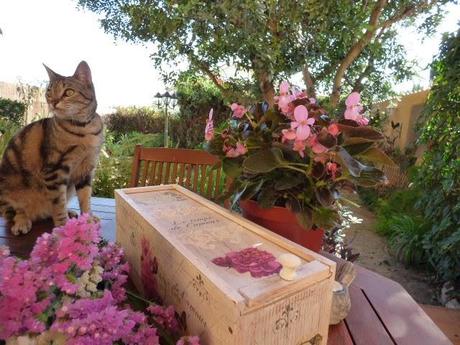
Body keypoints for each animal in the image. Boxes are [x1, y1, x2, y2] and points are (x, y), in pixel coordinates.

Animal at [0, 61, 103, 234]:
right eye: (49, 92)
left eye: (68, 92)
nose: (53, 102)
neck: (84, 128)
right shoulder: (55, 171)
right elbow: (58, 204)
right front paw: (64, 226)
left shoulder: (86, 171)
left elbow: (85, 199)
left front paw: (87, 218)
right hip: (9, 190)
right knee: (13, 212)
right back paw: (22, 222)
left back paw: (70, 212)